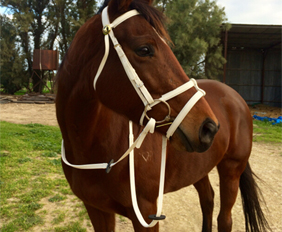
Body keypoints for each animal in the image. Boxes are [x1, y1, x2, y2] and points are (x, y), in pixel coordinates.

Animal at [56, 0, 270, 232]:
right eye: (144, 49)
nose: (209, 128)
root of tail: (235, 96)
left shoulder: (146, 214)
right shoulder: (96, 209)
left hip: (231, 170)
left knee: (225, 219)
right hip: (199, 169)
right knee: (207, 200)